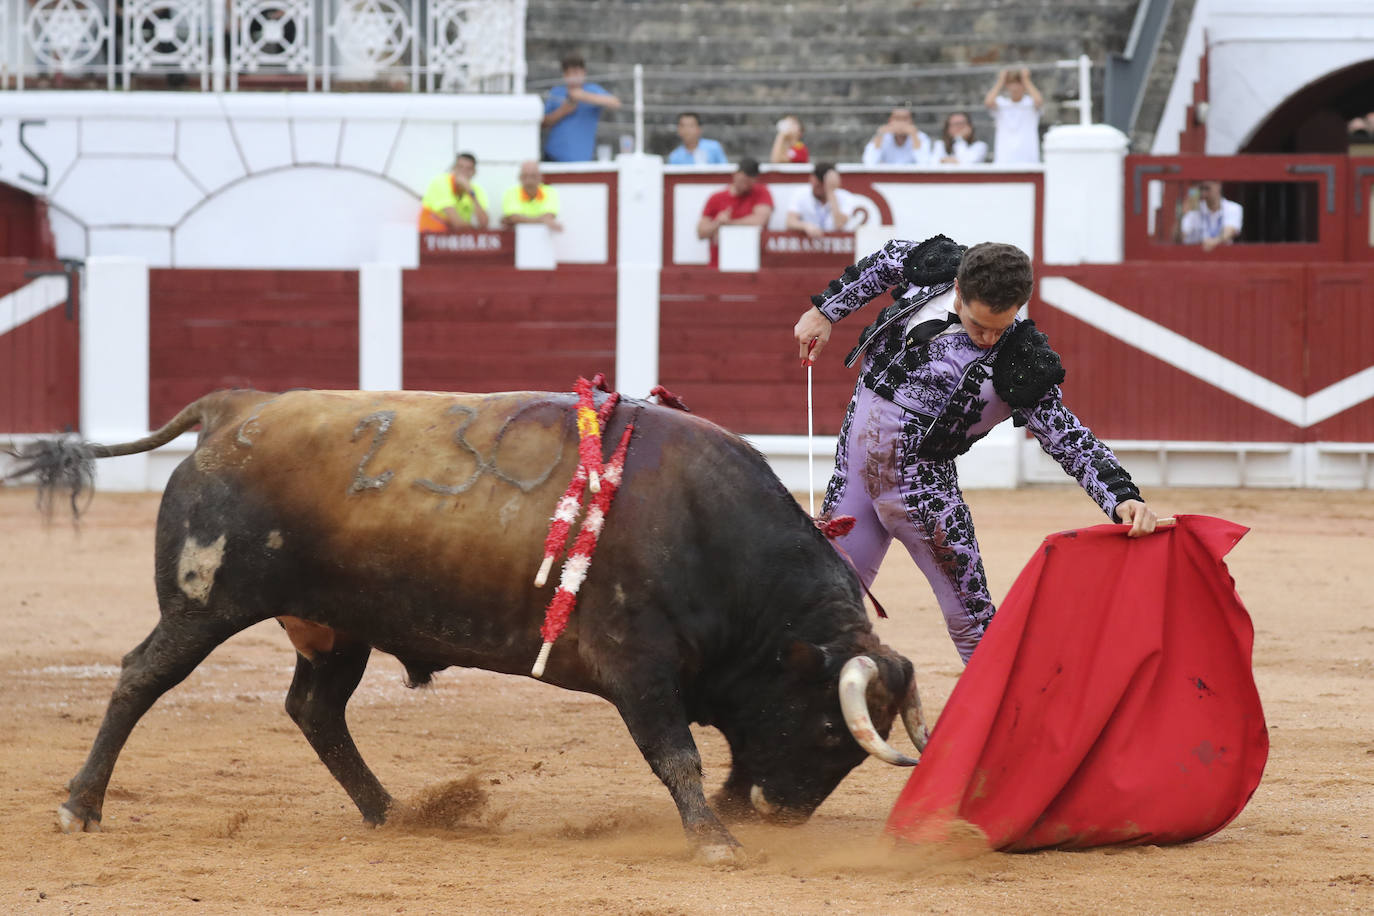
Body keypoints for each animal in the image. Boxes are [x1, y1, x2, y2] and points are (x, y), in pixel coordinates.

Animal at [10, 390, 928, 862]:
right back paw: (80, 807)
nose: (785, 815)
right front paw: (714, 839)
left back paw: (392, 811)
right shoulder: (640, 666)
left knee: (315, 709)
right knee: (141, 676)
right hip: (205, 603)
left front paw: (727, 821)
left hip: (335, 626)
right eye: (829, 729)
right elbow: (678, 754)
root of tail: (234, 409)